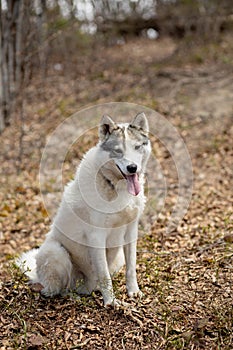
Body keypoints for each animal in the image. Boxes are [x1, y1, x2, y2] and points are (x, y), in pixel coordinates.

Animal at [18, 113, 153, 306]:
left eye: (137, 147)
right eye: (118, 151)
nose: (132, 168)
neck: (115, 186)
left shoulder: (131, 231)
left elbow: (131, 268)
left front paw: (133, 292)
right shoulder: (97, 236)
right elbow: (105, 276)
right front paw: (111, 303)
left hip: (117, 256)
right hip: (56, 252)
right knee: (57, 291)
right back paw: (72, 296)